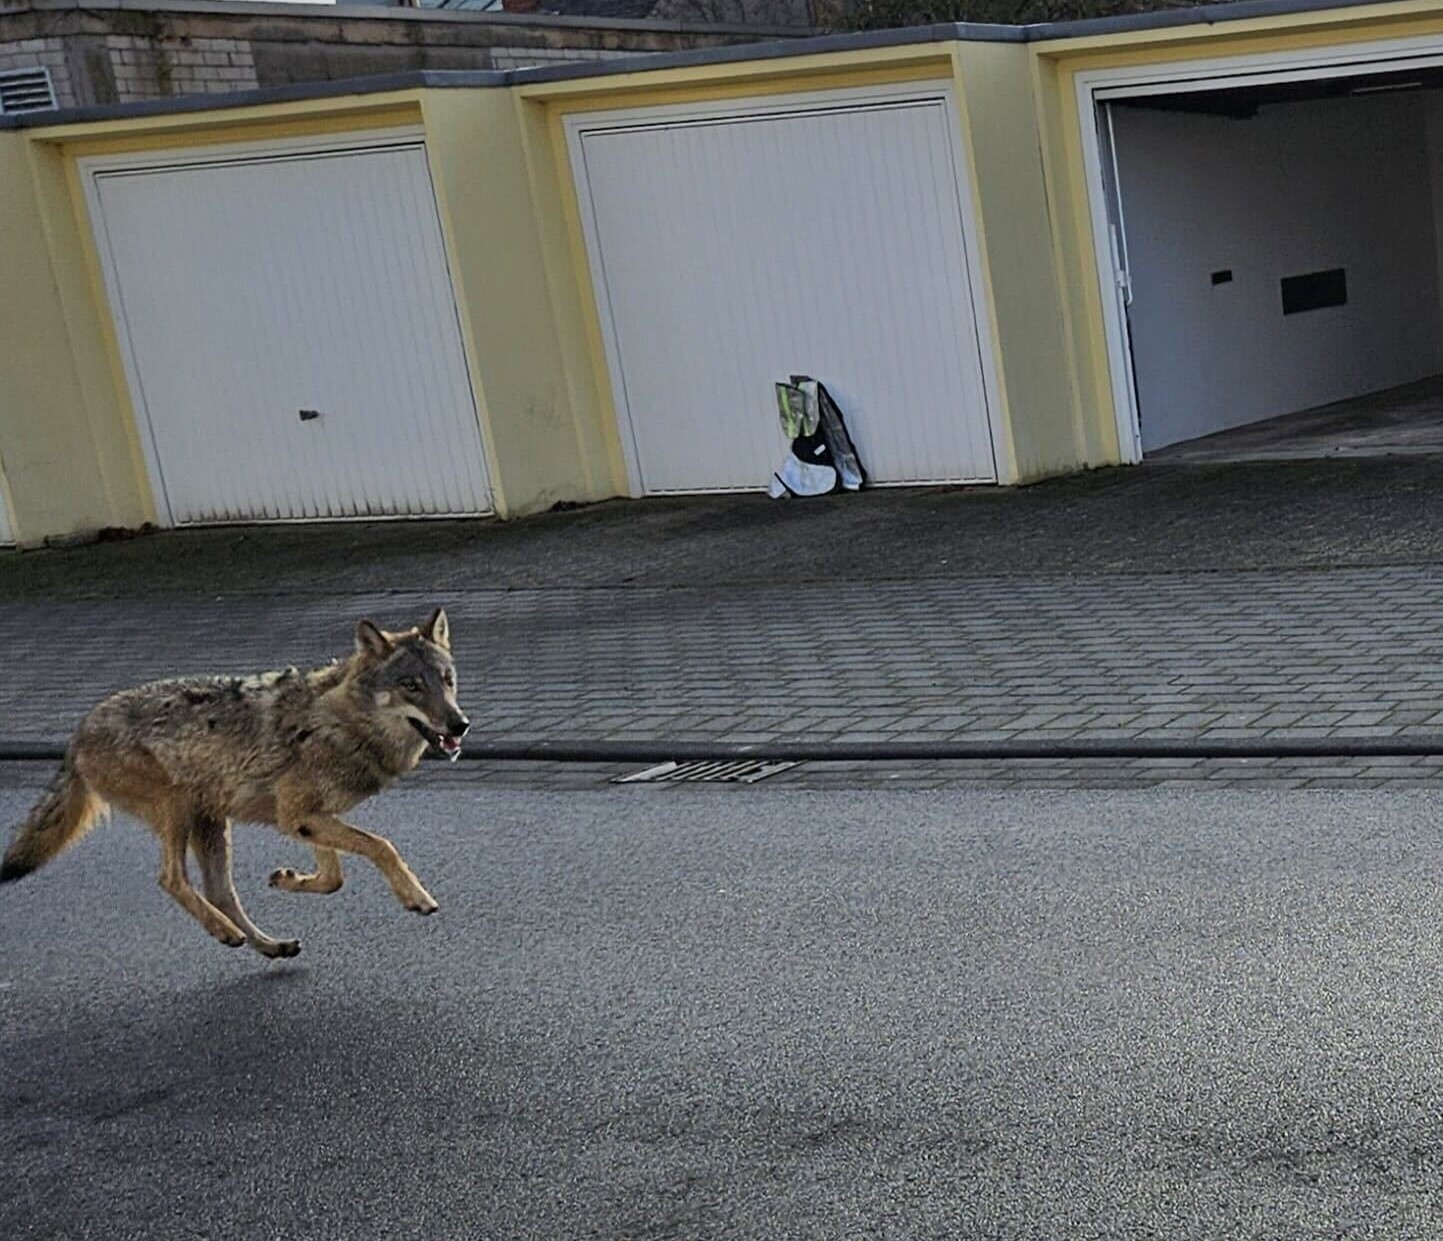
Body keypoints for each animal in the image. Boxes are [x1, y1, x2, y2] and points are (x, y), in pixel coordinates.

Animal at [0, 609, 468, 959]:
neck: (343, 722)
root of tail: (76, 734)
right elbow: (382, 846)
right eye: (411, 685)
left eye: (447, 681)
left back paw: (268, 944)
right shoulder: (301, 815)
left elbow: (333, 877)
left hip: (211, 827)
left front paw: (290, 879)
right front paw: (416, 897)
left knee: (221, 892)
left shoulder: (303, 818)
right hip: (179, 812)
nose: (460, 724)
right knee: (171, 880)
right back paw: (224, 932)